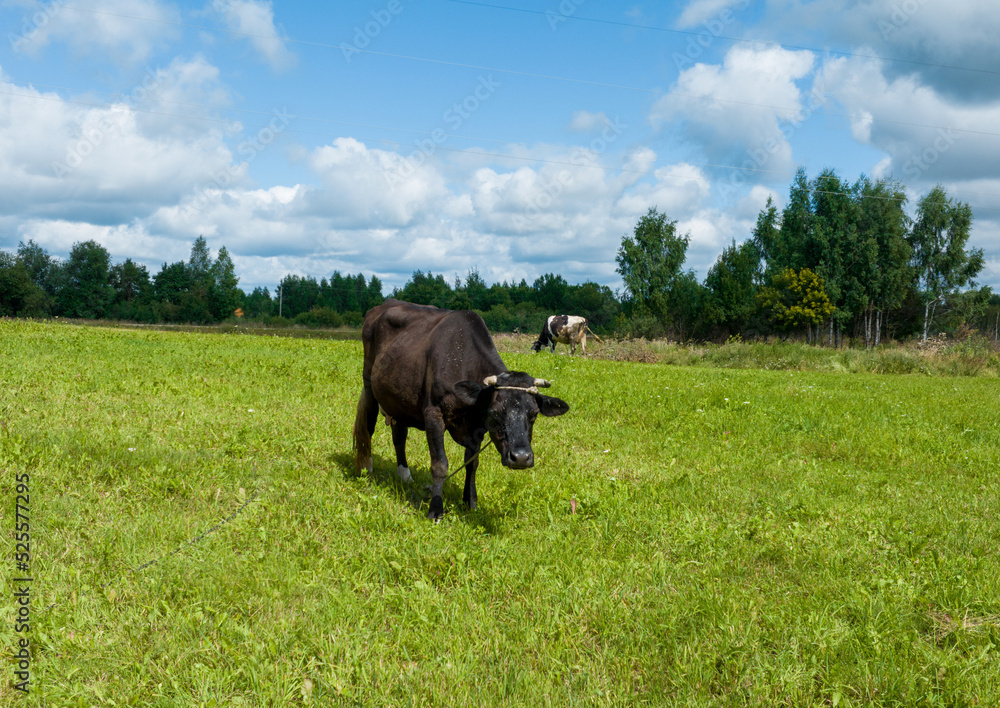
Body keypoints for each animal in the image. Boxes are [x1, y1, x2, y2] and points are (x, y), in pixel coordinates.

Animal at [353, 299, 569, 520]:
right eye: (495, 412)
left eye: (534, 414)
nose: (521, 458)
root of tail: (387, 303)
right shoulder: (433, 414)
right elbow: (440, 464)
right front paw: (435, 509)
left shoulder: (477, 428)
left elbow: (472, 463)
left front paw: (470, 502)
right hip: (369, 383)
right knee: (369, 426)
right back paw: (366, 469)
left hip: (398, 399)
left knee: (399, 435)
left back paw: (404, 475)